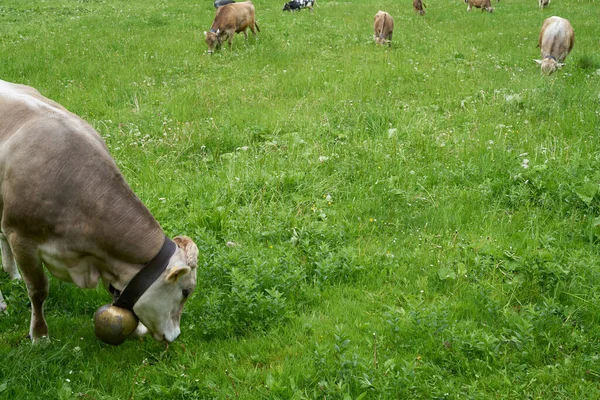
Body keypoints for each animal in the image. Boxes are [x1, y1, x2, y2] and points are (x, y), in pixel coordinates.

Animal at [0, 80, 199, 344]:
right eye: (185, 291)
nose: (175, 335)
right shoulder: (21, 237)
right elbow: (38, 290)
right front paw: (40, 336)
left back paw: (12, 274)